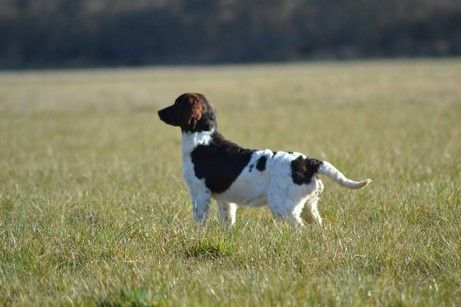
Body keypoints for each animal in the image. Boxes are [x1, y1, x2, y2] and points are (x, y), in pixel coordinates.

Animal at [158, 94, 370, 226]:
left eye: (177, 103)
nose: (159, 112)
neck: (202, 139)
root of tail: (307, 162)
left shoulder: (200, 193)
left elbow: (200, 221)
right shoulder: (225, 200)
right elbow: (227, 221)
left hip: (283, 207)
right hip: (310, 206)